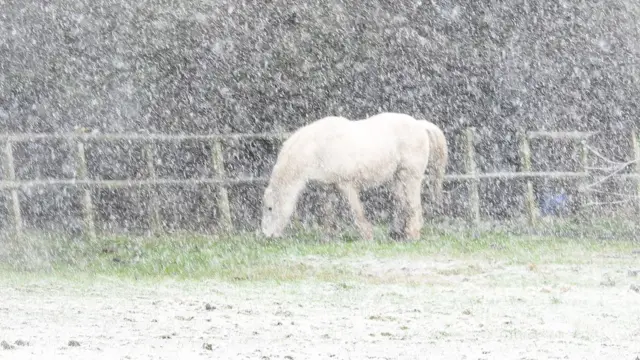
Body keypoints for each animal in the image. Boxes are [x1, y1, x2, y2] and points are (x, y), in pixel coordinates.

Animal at [262, 112, 436, 242]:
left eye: (270, 208)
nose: (267, 235)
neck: (317, 148)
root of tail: (420, 125)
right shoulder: (327, 188)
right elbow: (327, 212)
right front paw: (328, 237)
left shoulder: (347, 185)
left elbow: (356, 211)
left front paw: (367, 236)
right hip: (398, 178)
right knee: (401, 203)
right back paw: (398, 234)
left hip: (410, 177)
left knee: (413, 205)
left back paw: (412, 235)